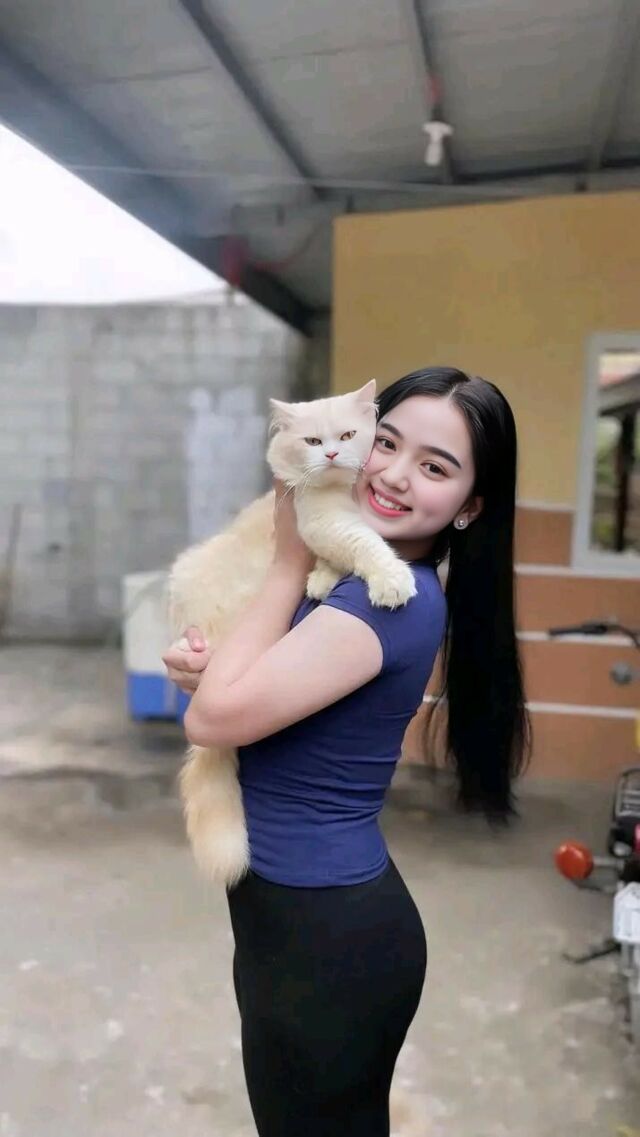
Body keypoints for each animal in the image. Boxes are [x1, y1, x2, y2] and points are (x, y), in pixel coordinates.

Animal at [167, 379, 417, 889]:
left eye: (348, 435)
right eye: (313, 442)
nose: (332, 455)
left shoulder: (326, 530)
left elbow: (342, 558)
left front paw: (322, 580)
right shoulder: (325, 521)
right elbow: (366, 544)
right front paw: (391, 580)